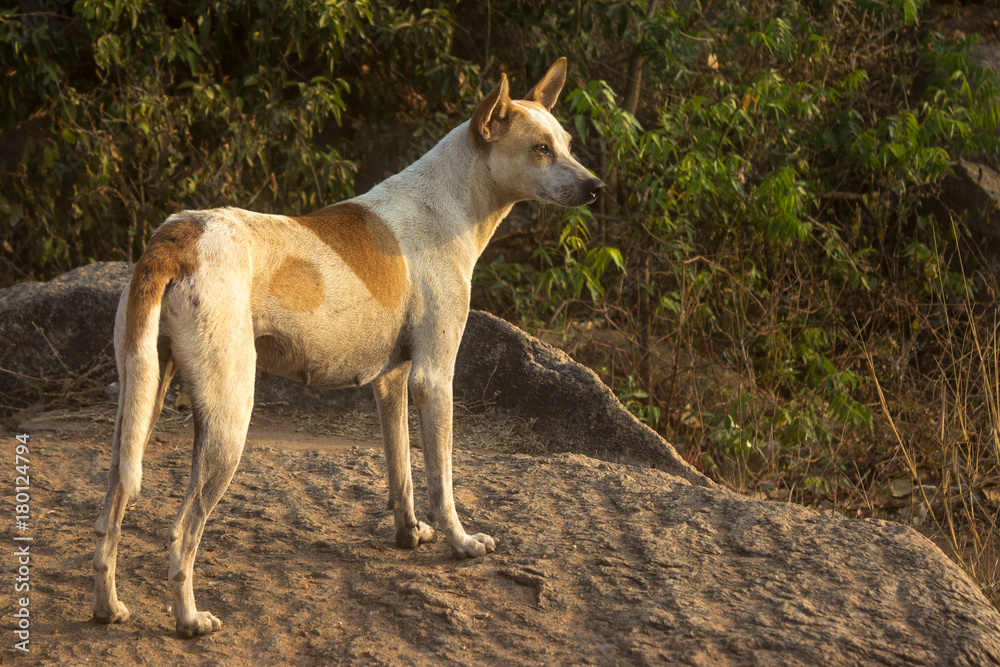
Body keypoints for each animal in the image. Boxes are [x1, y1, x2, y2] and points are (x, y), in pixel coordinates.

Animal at [92, 60, 600, 640]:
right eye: (540, 148)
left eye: (566, 143)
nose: (596, 187)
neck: (449, 200)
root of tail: (177, 235)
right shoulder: (434, 379)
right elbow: (442, 482)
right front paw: (461, 543)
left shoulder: (392, 383)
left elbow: (402, 473)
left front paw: (409, 535)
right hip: (228, 420)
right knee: (182, 533)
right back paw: (188, 619)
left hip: (139, 407)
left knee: (109, 514)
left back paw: (108, 608)